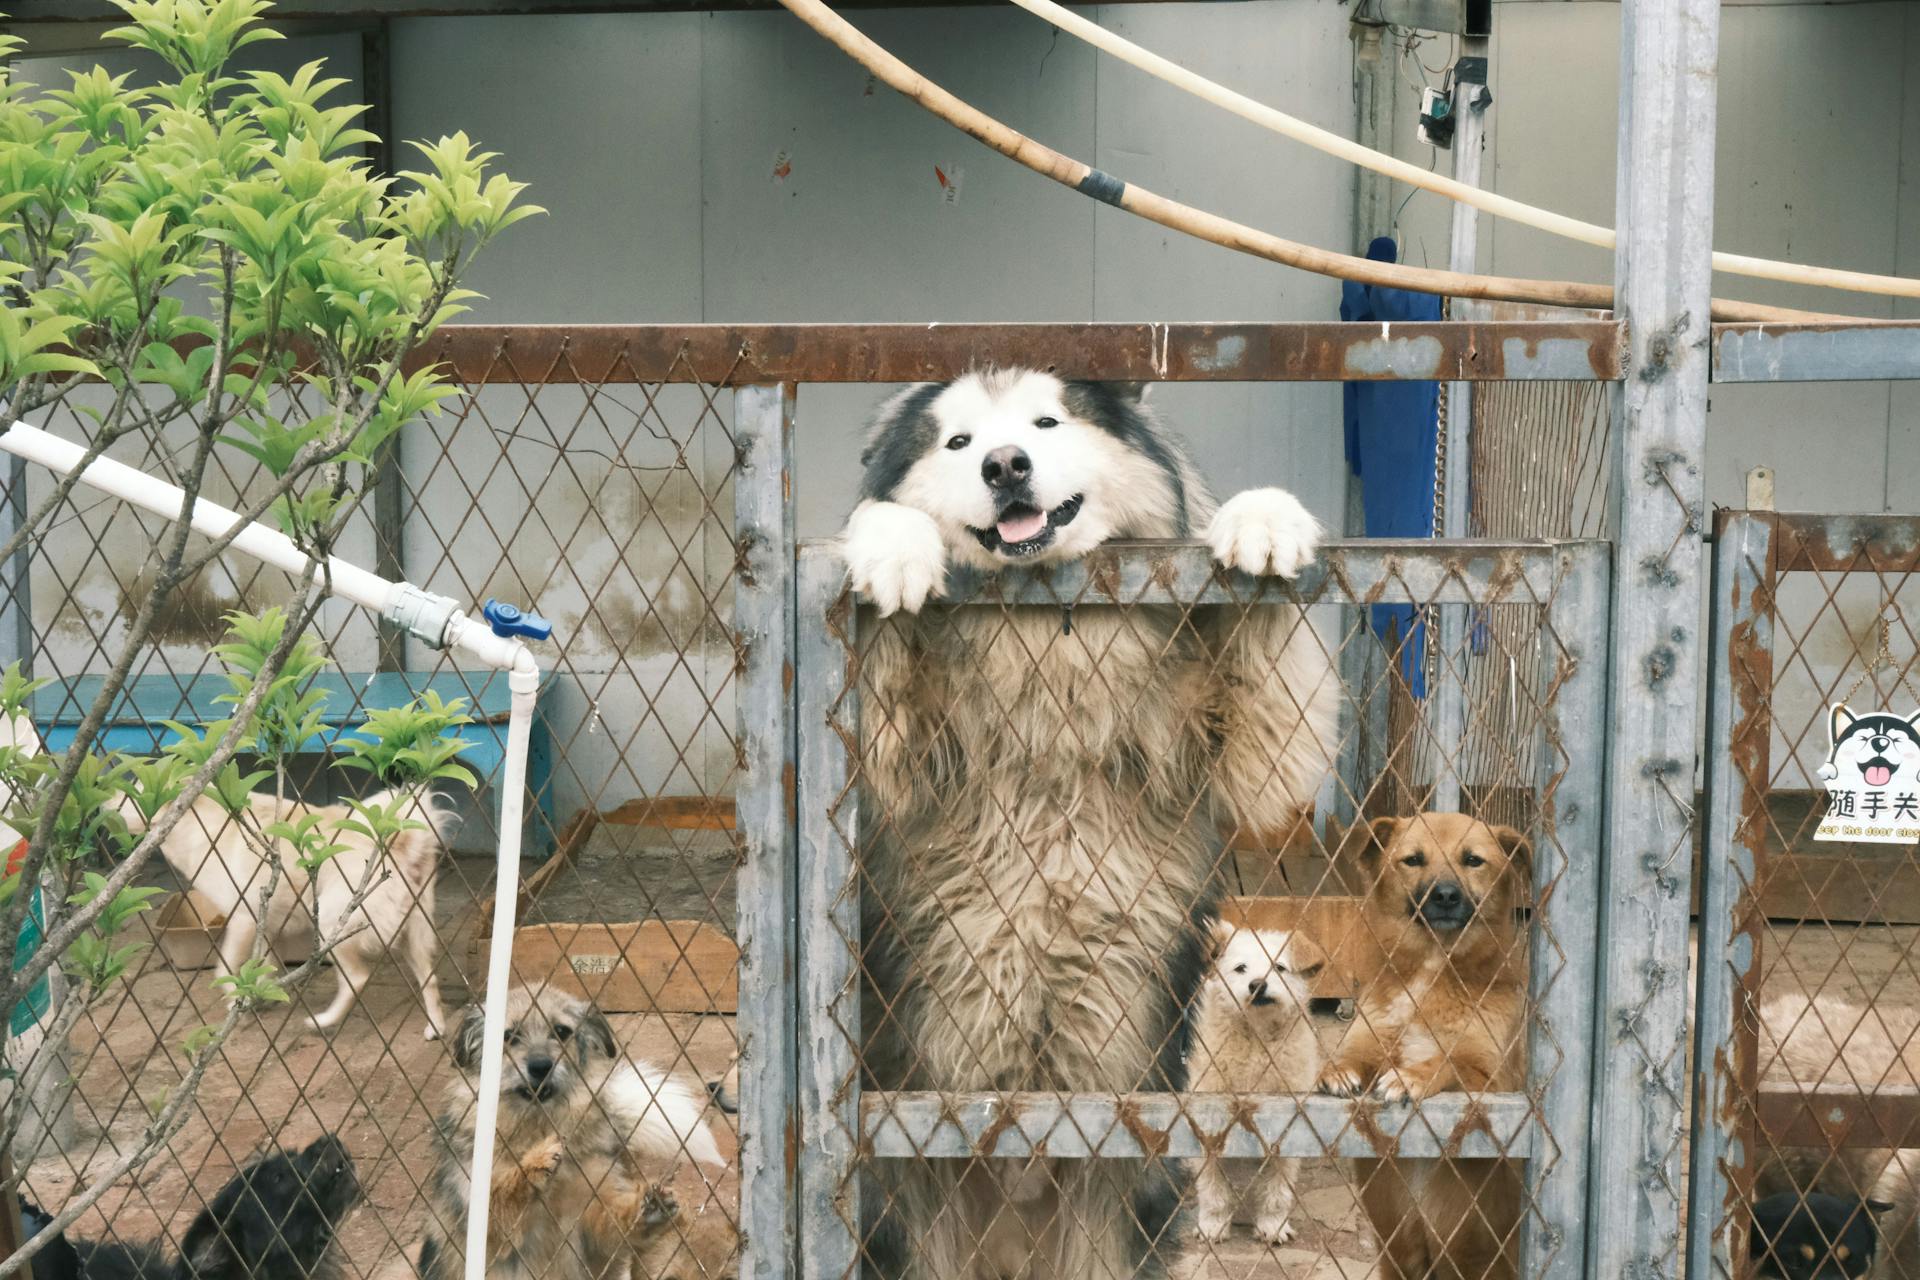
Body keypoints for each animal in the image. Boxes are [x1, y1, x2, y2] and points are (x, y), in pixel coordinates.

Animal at [840, 364, 1336, 1274]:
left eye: (1046, 422)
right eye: (957, 442)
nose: (1005, 464)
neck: (1049, 637)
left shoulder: (1251, 743)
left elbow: (1270, 707)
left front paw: (1262, 518)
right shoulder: (884, 749)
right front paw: (891, 542)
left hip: (1111, 1195)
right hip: (910, 1199)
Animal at [1320, 817, 1528, 1280]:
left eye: (1473, 860)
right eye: (1413, 860)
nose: (1446, 895)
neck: (1432, 971)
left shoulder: (1494, 1081)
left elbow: (1446, 1061)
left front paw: (1410, 1077)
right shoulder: (1369, 1037)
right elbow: (1351, 1054)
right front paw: (1337, 1070)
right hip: (1401, 1249)